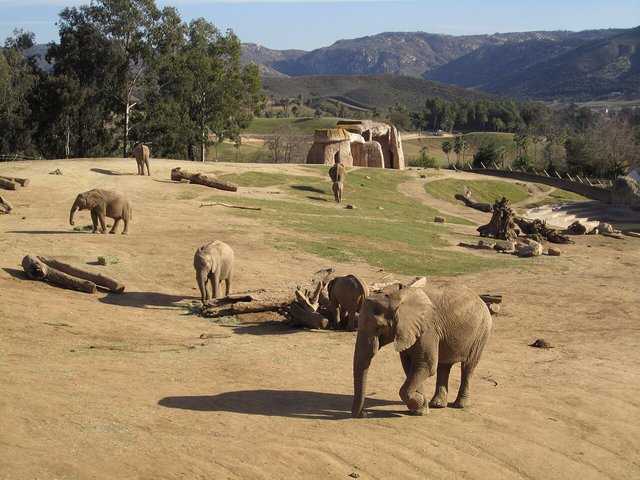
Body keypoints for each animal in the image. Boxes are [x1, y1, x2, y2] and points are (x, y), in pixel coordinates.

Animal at [352, 283, 491, 418]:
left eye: (379, 328)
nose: (363, 413)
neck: (397, 296)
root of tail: (481, 299)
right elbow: (411, 366)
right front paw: (419, 410)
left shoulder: (428, 329)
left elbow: (425, 365)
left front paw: (418, 404)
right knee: (444, 367)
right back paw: (437, 404)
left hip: (481, 332)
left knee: (468, 367)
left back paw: (460, 405)